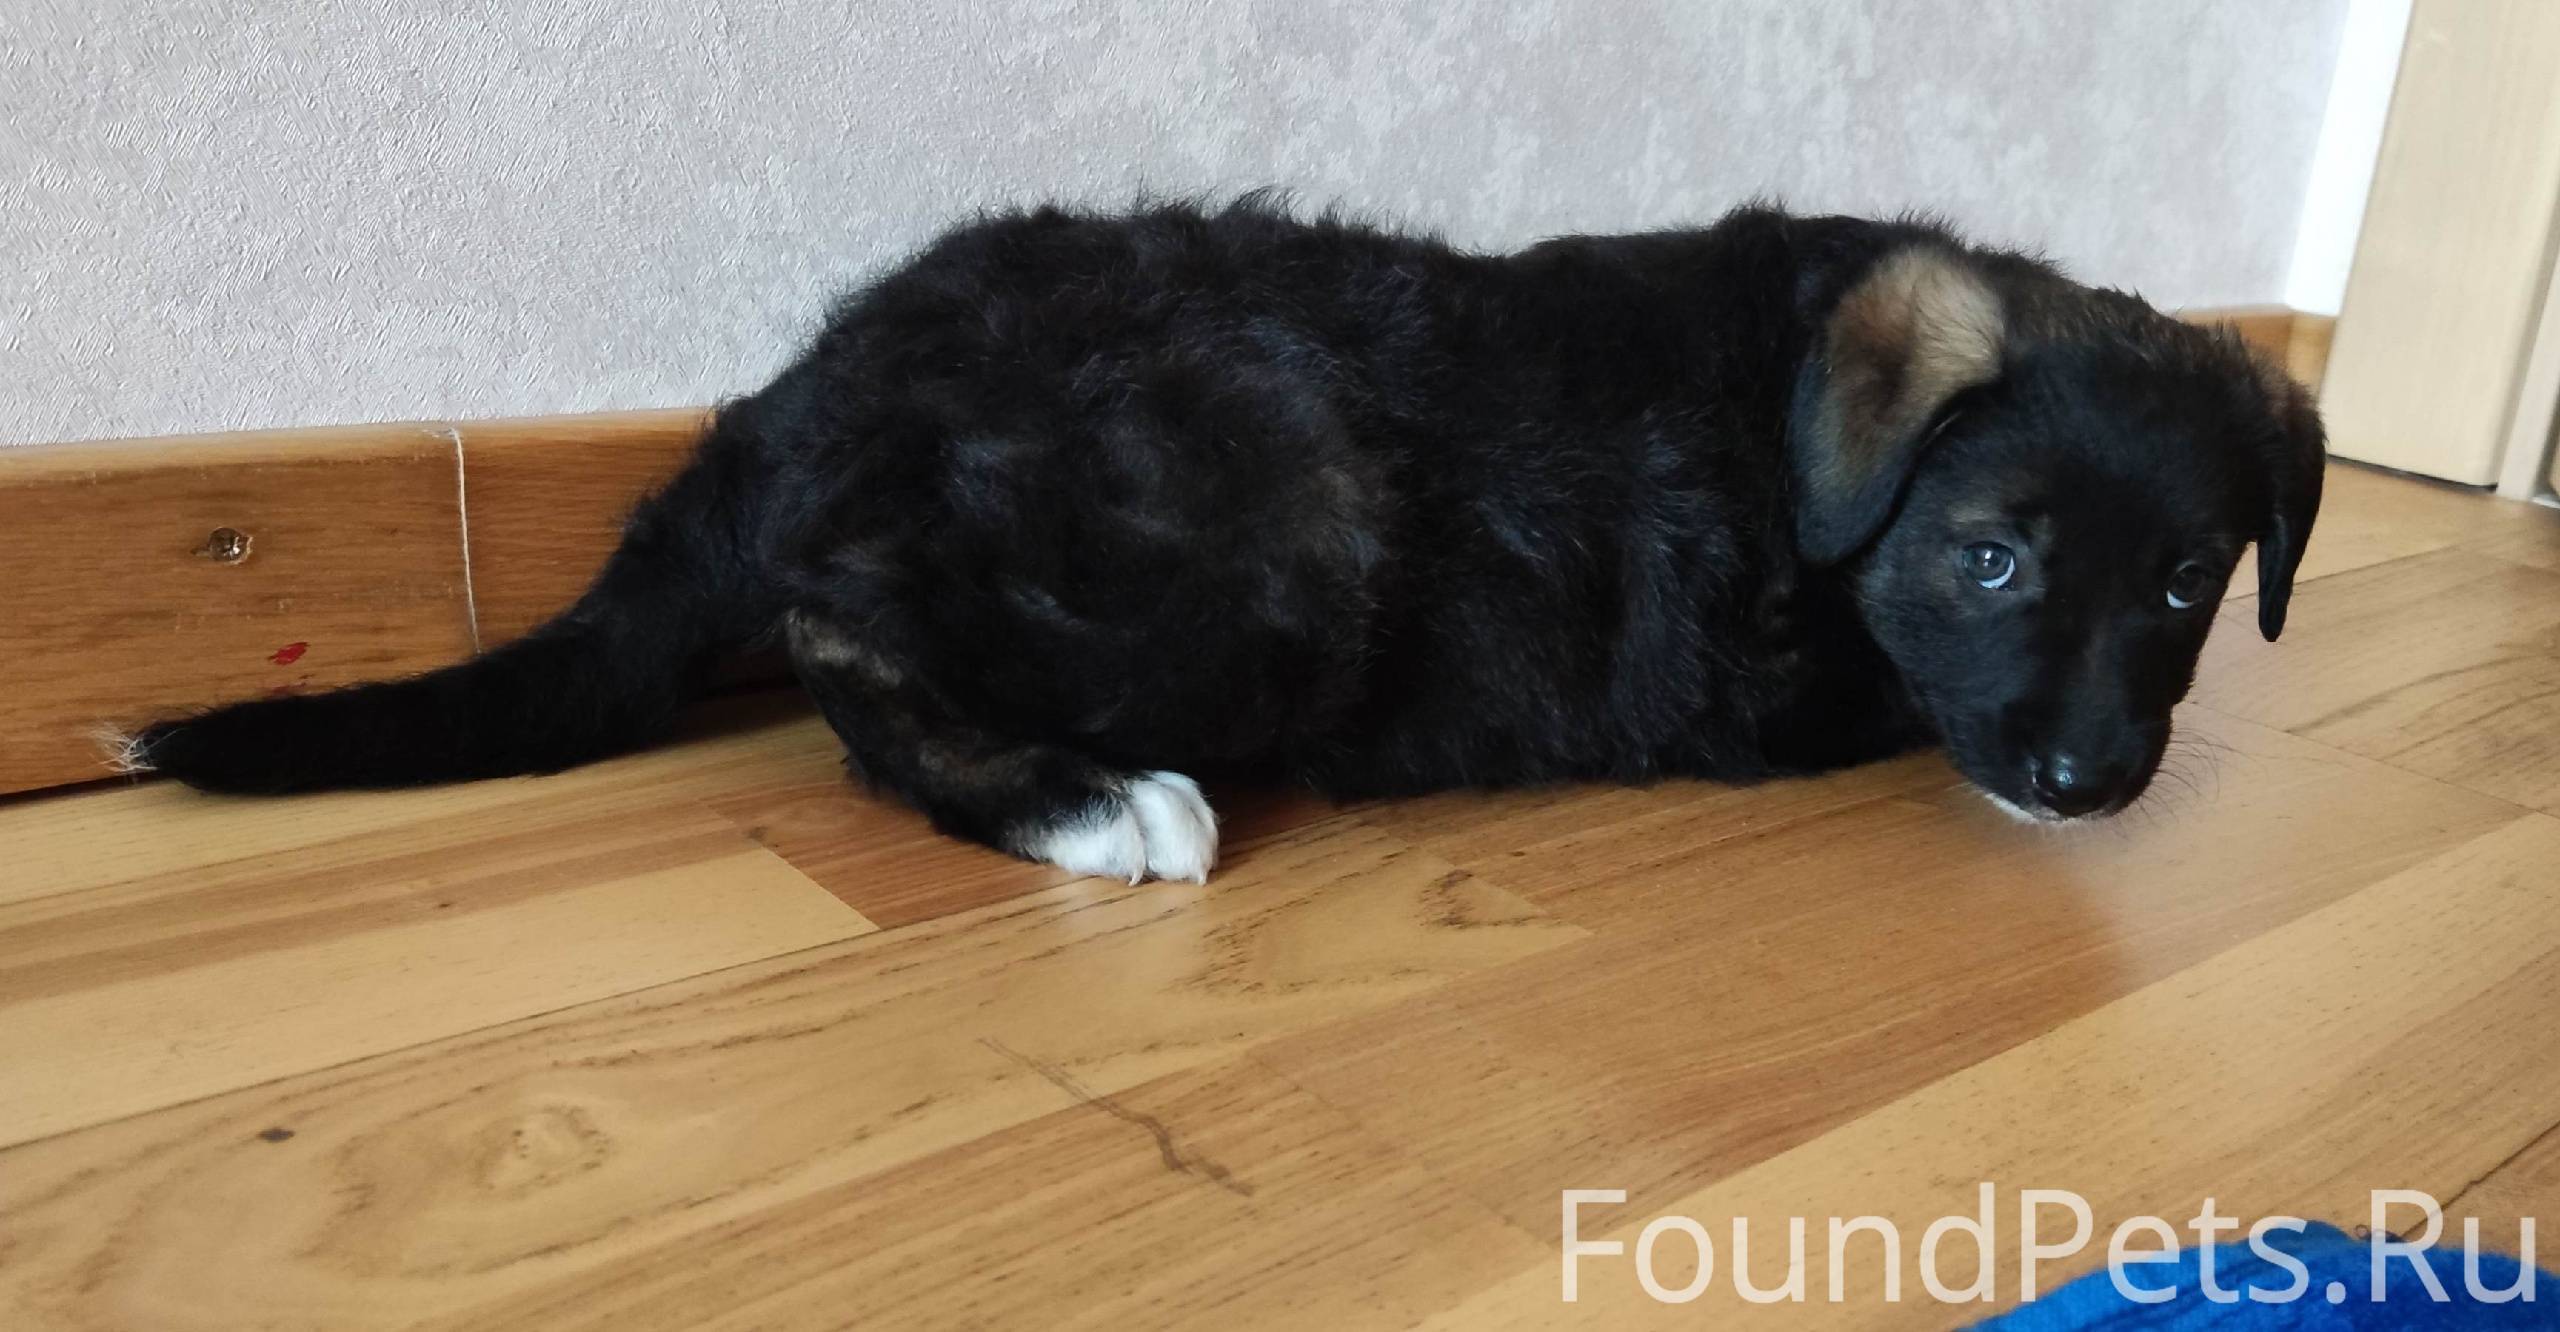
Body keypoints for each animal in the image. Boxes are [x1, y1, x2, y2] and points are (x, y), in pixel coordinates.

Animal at [128, 198, 2324, 882]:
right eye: (1992, 556)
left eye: (2188, 582)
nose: (2087, 776)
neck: (1794, 415)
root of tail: (805, 390)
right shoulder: (1789, 688)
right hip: (1282, 534)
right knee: (853, 641)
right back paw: (1102, 808)